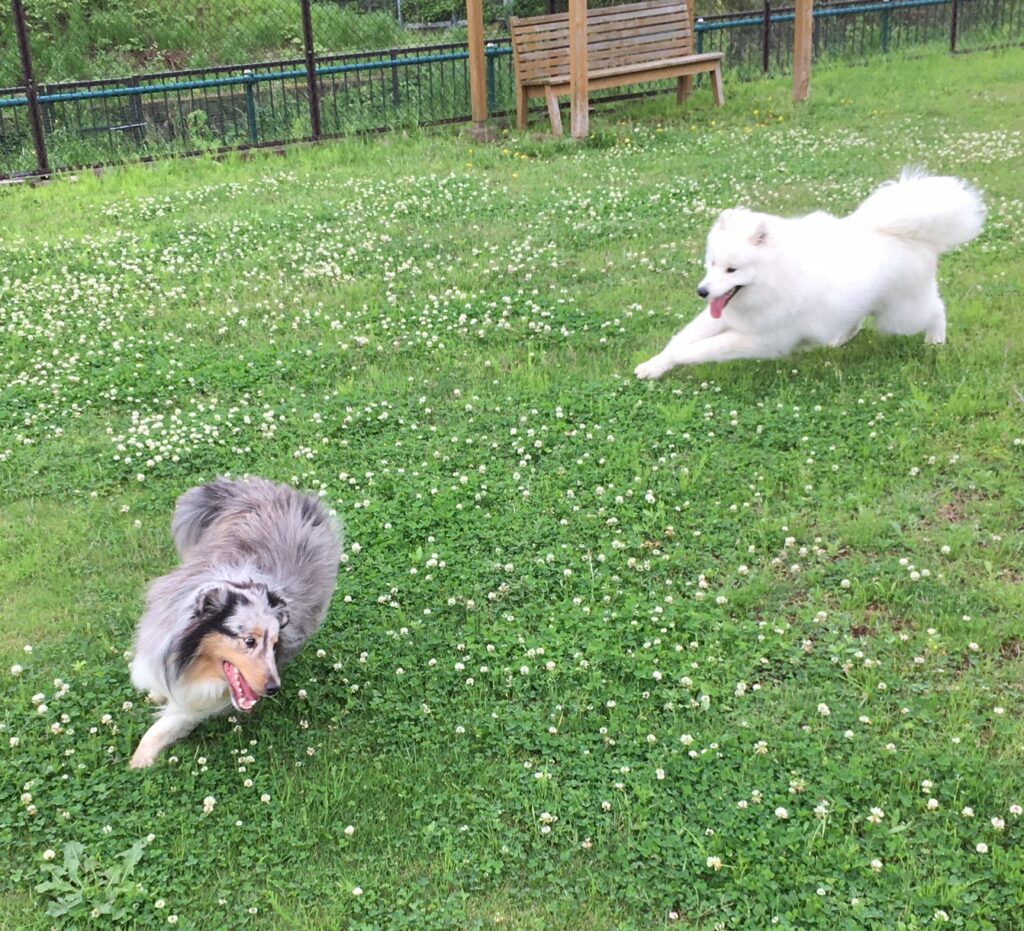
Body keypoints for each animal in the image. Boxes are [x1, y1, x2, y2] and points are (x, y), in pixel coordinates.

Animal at [129, 477, 342, 767]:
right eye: (249, 641)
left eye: (275, 644)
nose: (274, 689)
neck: (192, 665)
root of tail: (273, 489)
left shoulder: (196, 702)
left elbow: (164, 725)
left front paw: (138, 762)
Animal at [634, 170, 985, 378]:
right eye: (711, 264)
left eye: (732, 269)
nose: (703, 292)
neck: (773, 277)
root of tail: (915, 234)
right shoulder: (726, 317)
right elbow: (680, 339)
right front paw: (655, 365)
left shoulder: (762, 339)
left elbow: (699, 349)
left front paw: (676, 359)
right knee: (856, 317)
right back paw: (840, 339)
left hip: (900, 315)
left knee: (936, 310)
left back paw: (935, 340)